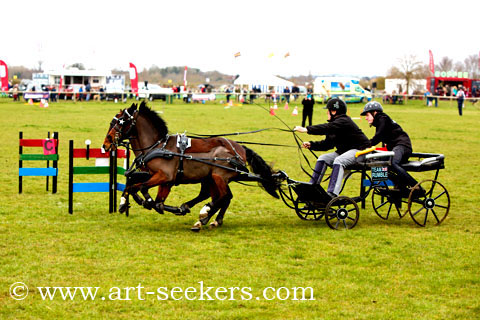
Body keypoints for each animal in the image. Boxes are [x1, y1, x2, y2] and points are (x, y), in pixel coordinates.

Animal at [103, 102, 280, 230]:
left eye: (121, 121)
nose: (106, 144)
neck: (159, 146)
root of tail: (240, 149)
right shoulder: (154, 176)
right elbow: (132, 182)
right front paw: (124, 203)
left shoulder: (164, 177)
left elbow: (140, 188)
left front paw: (147, 201)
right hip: (210, 178)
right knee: (218, 196)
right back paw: (207, 218)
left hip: (218, 176)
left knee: (224, 196)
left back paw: (204, 213)